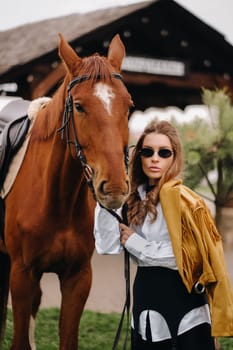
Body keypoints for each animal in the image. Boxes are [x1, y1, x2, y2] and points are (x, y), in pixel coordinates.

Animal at [0, 33, 132, 350]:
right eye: (80, 106)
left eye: (129, 105)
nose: (115, 186)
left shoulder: (78, 277)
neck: (57, 200)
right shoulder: (21, 275)